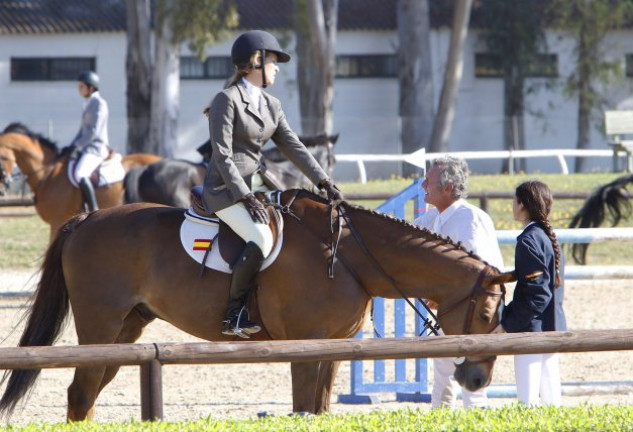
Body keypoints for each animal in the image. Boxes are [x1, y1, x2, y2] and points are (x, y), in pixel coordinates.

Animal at [0, 192, 512, 422]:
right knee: (80, 392)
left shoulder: (332, 349)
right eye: (487, 316)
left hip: (128, 329)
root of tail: (86, 218)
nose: (478, 380)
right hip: (101, 324)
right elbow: (303, 408)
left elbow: (319, 409)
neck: (347, 255)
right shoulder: (305, 347)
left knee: (87, 394)